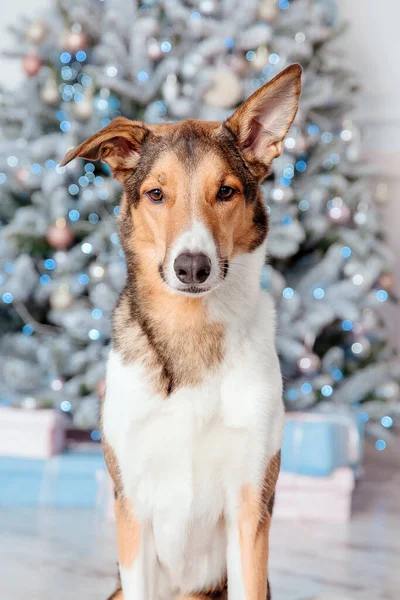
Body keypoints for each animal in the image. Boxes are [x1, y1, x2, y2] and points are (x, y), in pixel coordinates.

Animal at [61, 62, 302, 600]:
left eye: (226, 191)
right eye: (156, 194)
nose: (193, 267)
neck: (190, 328)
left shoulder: (250, 504)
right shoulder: (133, 506)